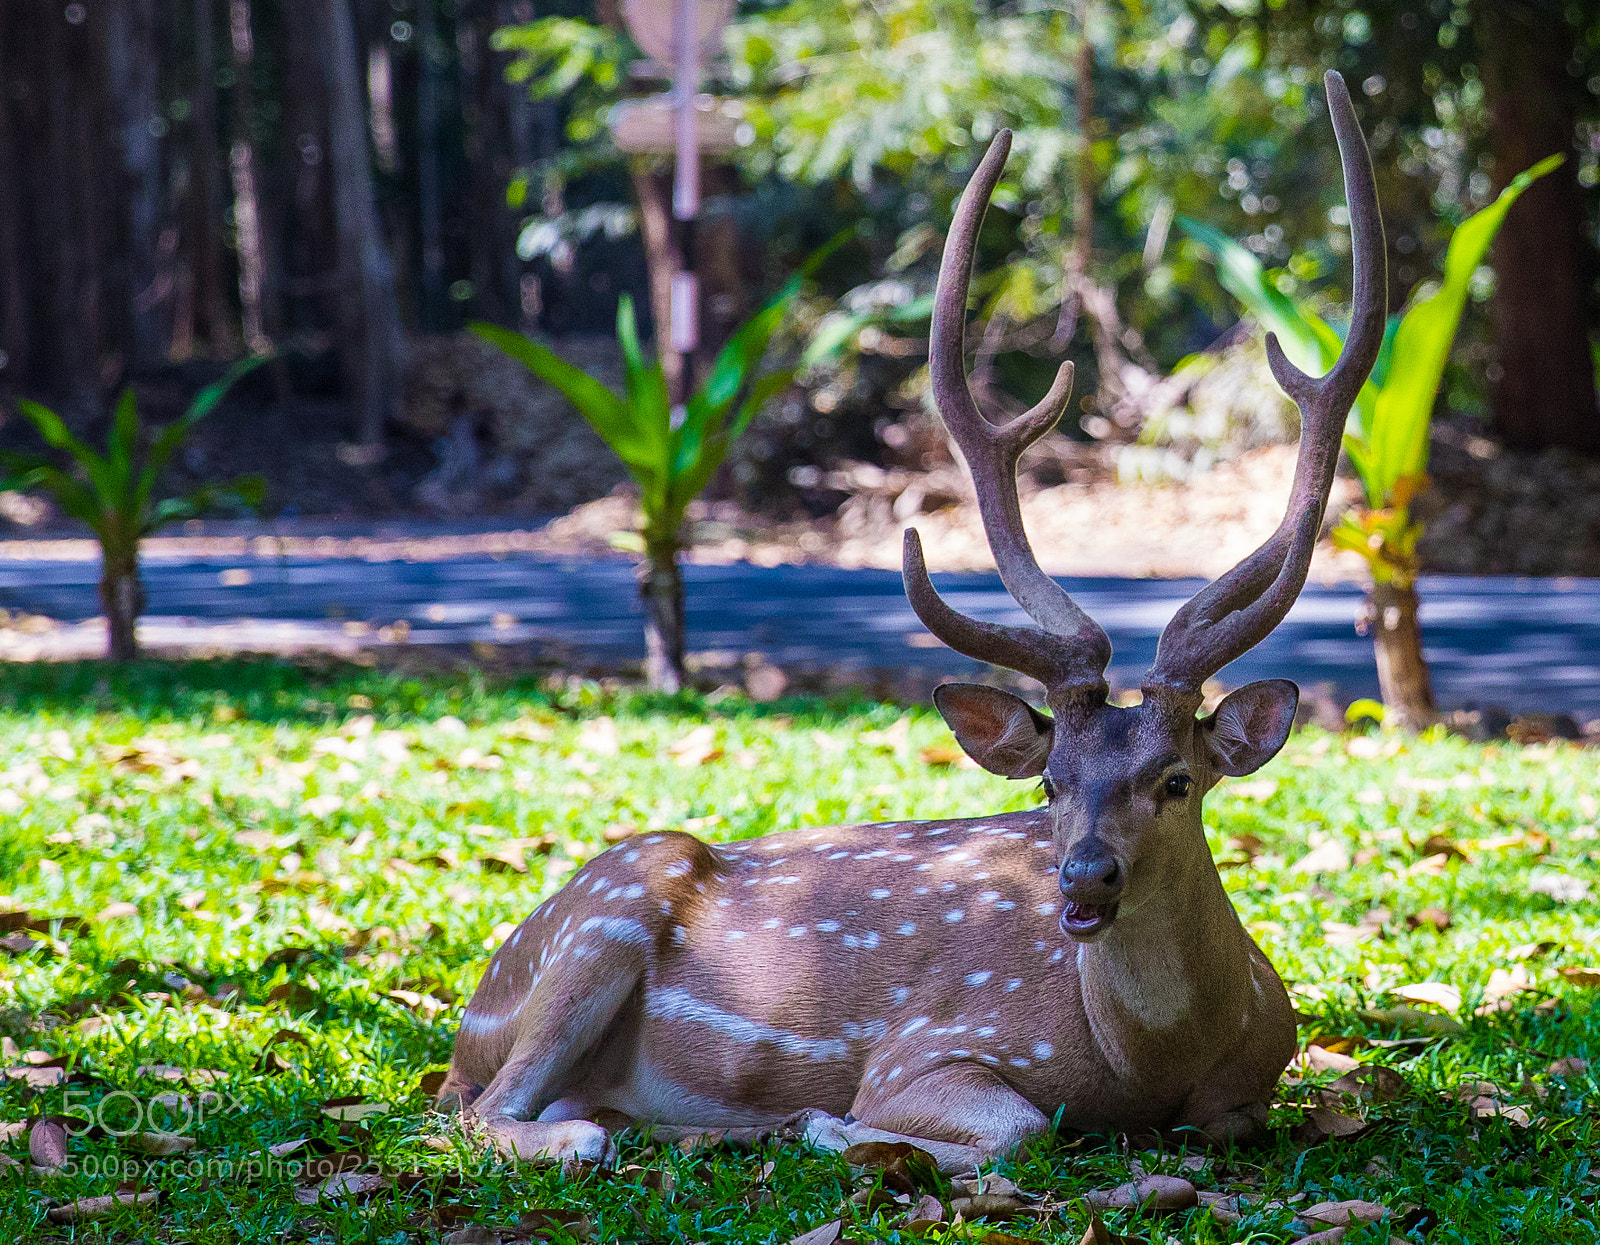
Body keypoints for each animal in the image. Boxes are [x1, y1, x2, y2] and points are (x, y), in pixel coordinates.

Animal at [438, 70, 1386, 1176]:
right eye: (1051, 782)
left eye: (1177, 779)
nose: (1084, 875)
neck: (1151, 1068)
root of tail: (468, 1017)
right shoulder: (926, 1043)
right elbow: (1019, 1126)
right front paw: (828, 1123)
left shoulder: (1253, 1086)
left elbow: (1225, 1117)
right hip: (602, 921)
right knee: (487, 1112)